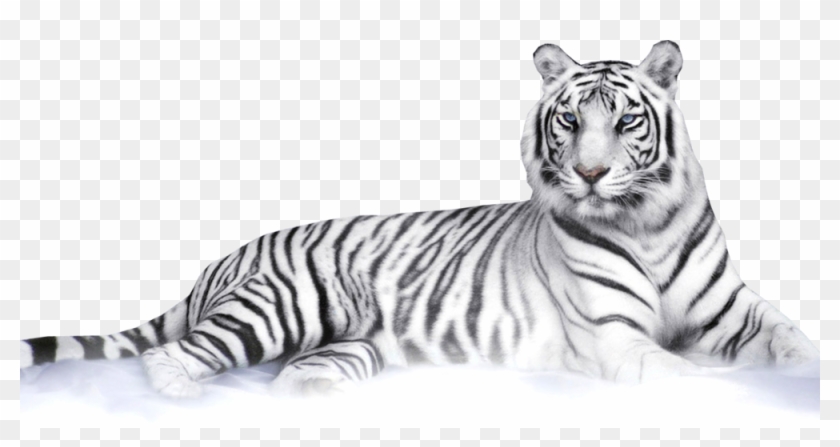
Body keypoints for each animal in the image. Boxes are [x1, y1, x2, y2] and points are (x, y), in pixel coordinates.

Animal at [20, 41, 820, 398]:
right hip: (279, 307)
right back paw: (189, 399)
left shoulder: (735, 310)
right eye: (569, 120)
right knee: (169, 358)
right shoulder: (616, 337)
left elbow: (796, 341)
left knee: (290, 376)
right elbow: (688, 377)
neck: (645, 224)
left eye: (626, 121)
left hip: (346, 348)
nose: (592, 174)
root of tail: (219, 259)